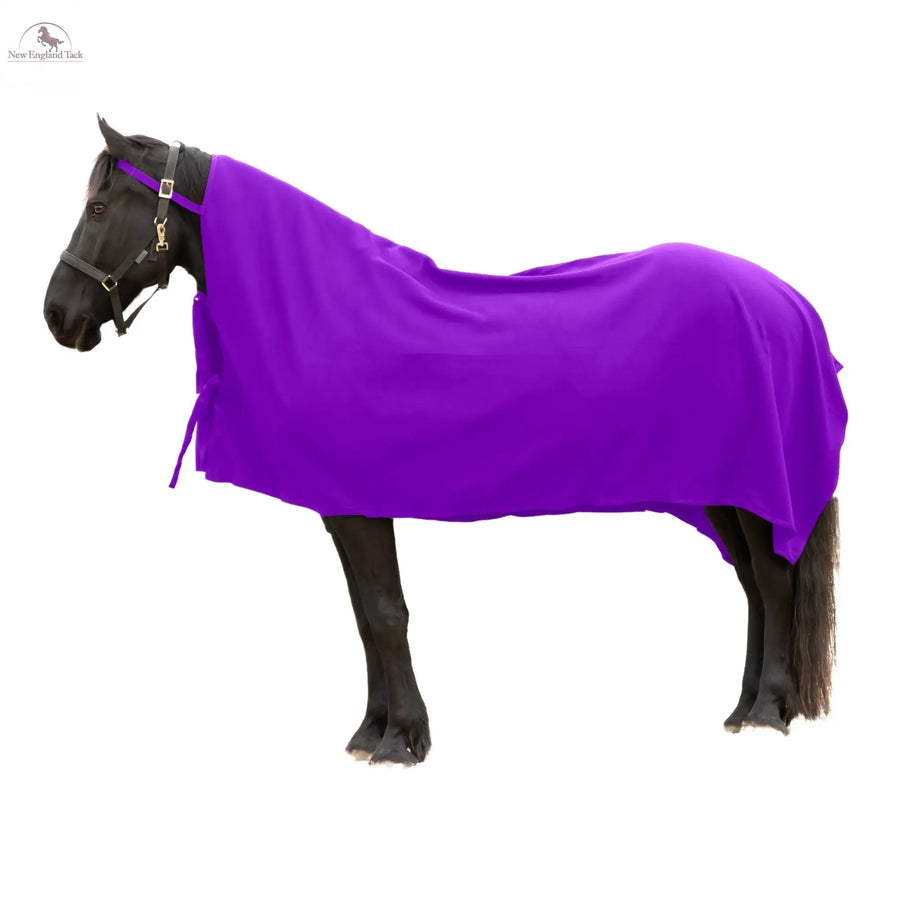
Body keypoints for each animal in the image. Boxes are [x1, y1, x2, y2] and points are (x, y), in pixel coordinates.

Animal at [42, 117, 845, 765]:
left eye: (98, 206)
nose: (56, 315)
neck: (328, 306)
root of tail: (784, 299)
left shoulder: (363, 504)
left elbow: (385, 612)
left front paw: (402, 740)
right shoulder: (344, 505)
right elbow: (365, 616)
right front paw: (372, 732)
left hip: (752, 486)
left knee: (773, 580)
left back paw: (767, 712)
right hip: (719, 490)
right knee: (753, 583)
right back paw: (743, 708)